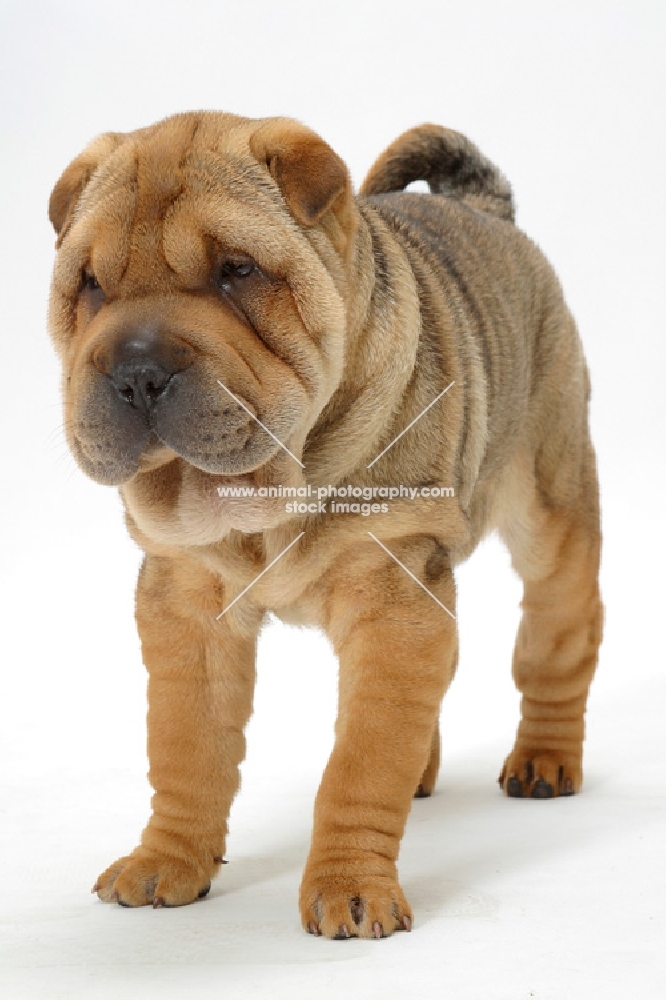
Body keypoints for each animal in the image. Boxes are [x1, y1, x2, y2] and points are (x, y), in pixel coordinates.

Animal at [46, 111, 600, 936]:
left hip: (553, 506)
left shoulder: (392, 598)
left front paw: (351, 889)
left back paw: (544, 761)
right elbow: (186, 748)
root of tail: (484, 210)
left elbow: (360, 762)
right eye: (89, 284)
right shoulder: (187, 610)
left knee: (556, 640)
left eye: (237, 270)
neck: (264, 495)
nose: (138, 372)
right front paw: (165, 863)